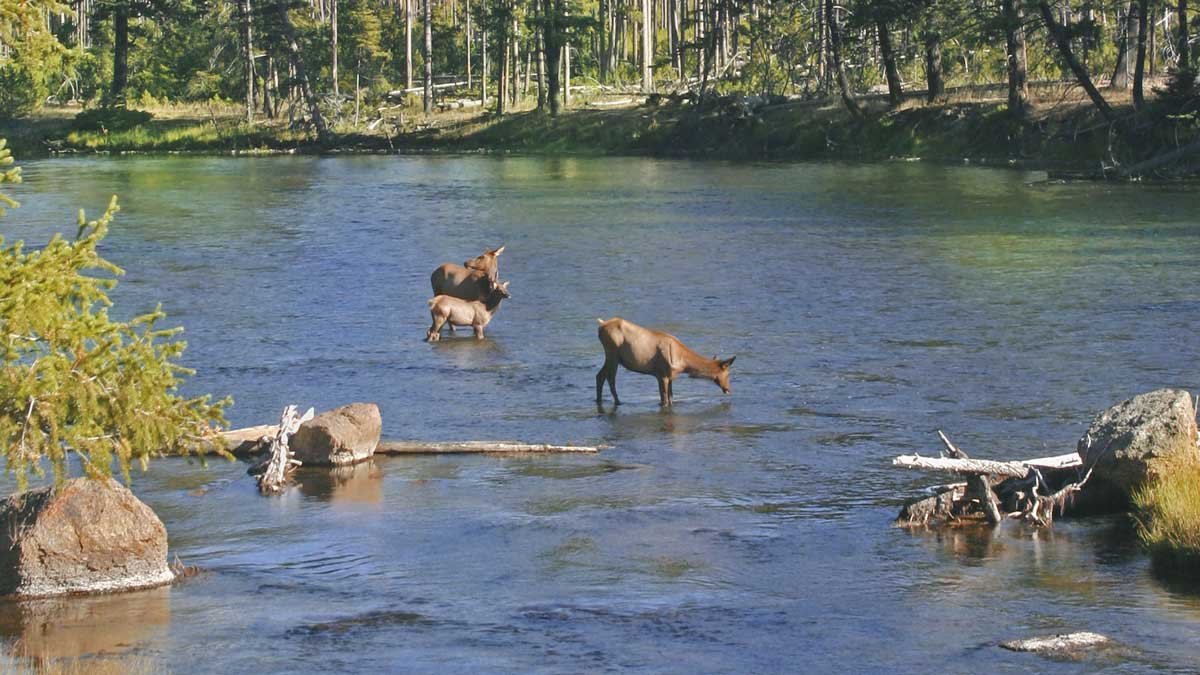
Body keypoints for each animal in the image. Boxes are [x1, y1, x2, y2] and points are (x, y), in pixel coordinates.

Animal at [595, 317, 735, 407]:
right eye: (728, 373)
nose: (728, 389)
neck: (684, 364)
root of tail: (600, 325)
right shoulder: (662, 375)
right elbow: (665, 400)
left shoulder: (668, 376)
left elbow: (670, 398)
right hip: (612, 354)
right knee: (610, 378)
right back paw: (618, 401)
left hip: (611, 356)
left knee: (599, 375)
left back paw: (599, 400)